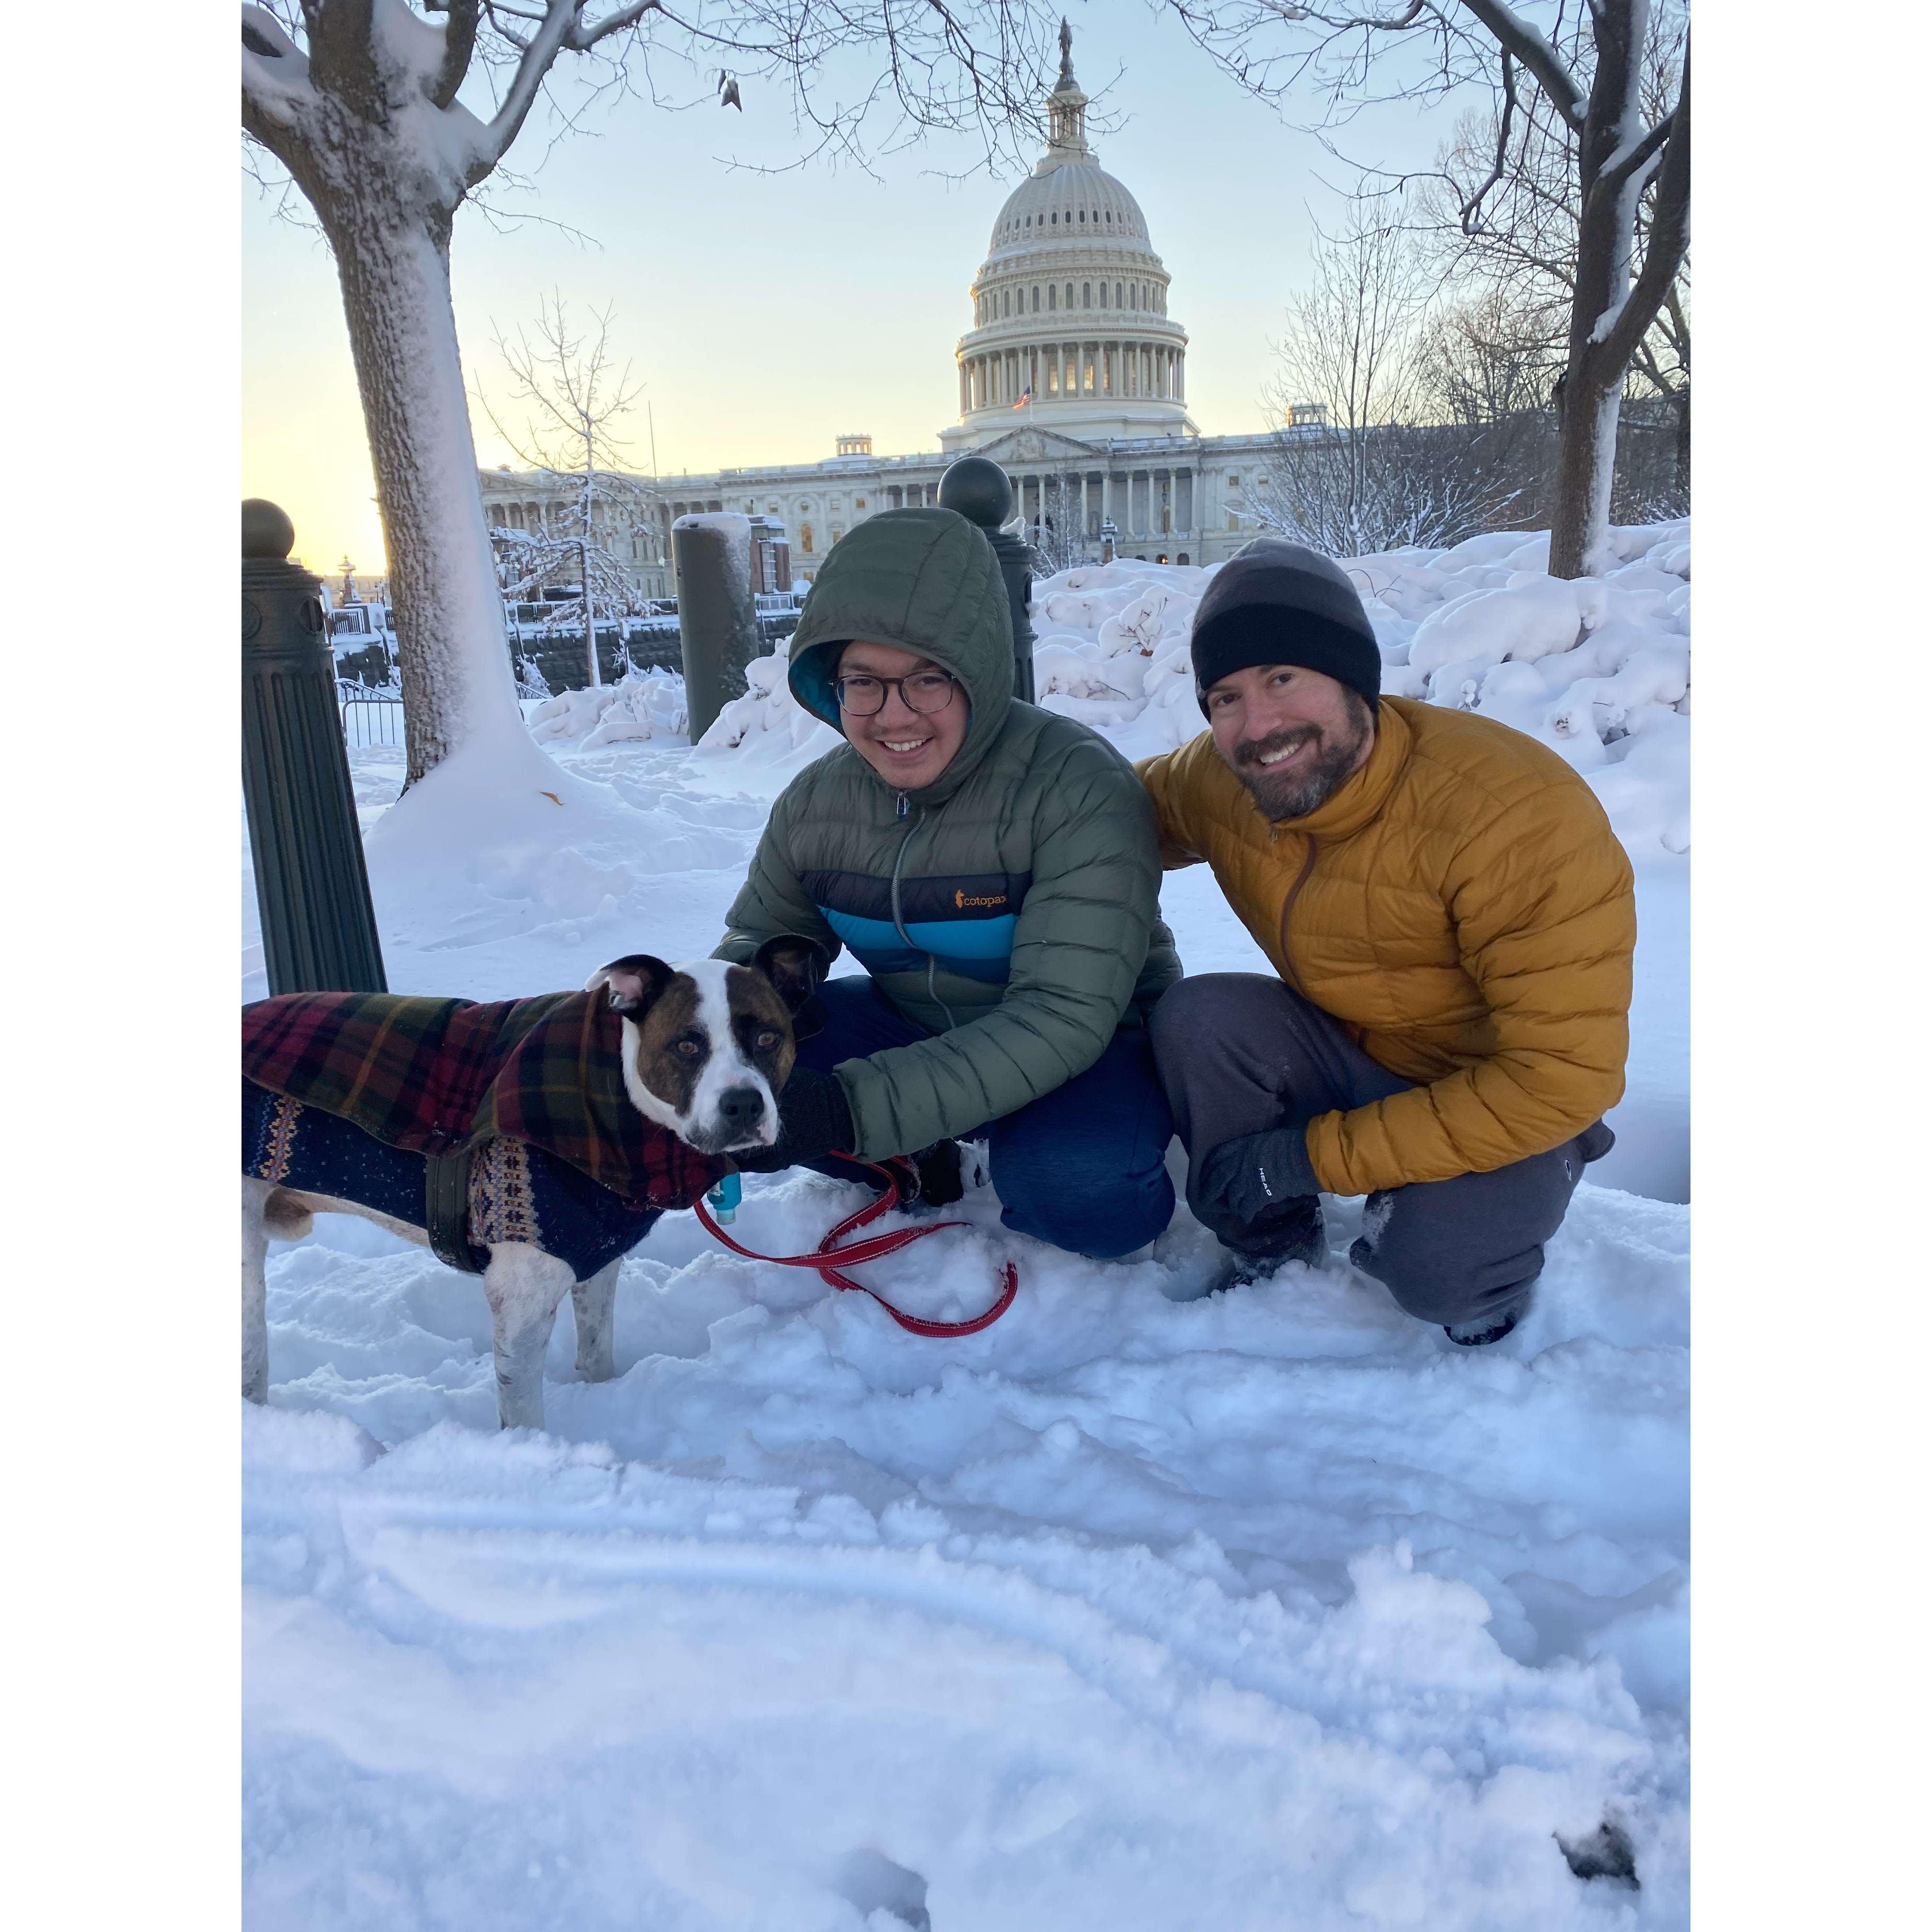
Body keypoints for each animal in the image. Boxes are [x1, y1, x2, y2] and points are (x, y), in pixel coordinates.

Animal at [239, 939, 823, 1437]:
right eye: (686, 1045)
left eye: (768, 1038)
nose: (744, 1104)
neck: (615, 1100)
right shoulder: (520, 1303)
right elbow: (522, 1414)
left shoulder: (596, 1257)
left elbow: (596, 1350)